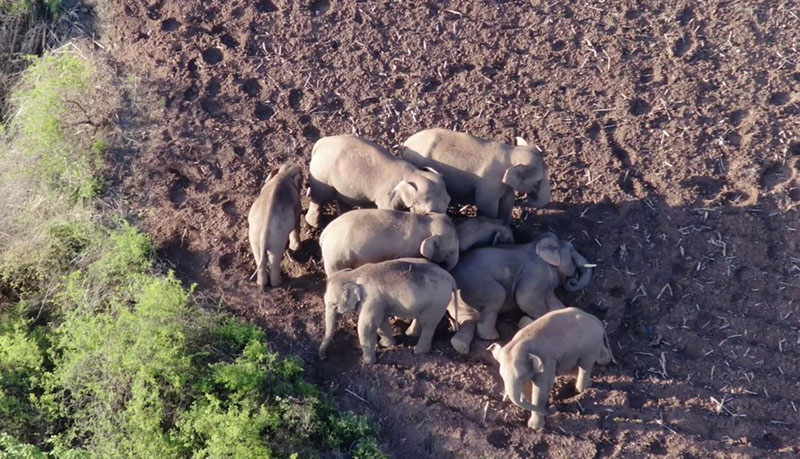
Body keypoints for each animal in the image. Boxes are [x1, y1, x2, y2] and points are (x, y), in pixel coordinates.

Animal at [304, 135, 450, 228]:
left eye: (449, 201)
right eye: (429, 212)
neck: (413, 173)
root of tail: (319, 144)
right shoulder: (387, 195)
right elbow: (387, 209)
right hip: (322, 177)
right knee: (320, 199)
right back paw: (318, 225)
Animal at [318, 209, 456, 276]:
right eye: (450, 252)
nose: (449, 269)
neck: (427, 222)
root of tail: (323, 235)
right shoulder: (407, 250)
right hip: (336, 259)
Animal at [318, 258, 460, 362]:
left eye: (333, 304)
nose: (323, 357)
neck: (354, 274)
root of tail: (451, 279)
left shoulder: (371, 300)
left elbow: (366, 326)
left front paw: (368, 362)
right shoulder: (379, 303)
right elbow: (382, 322)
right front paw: (388, 344)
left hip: (437, 304)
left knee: (428, 324)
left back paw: (417, 351)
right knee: (421, 319)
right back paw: (409, 334)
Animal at [400, 128, 552, 224]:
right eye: (537, 182)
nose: (528, 199)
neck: (512, 153)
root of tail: (405, 144)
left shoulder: (503, 185)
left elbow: (508, 201)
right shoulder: (489, 186)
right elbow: (487, 208)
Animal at [446, 234, 592, 356]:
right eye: (572, 252)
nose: (573, 280)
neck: (536, 244)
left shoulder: (547, 283)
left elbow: (554, 303)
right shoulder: (535, 272)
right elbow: (526, 299)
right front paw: (538, 320)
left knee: (468, 319)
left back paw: (460, 346)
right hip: (478, 287)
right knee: (496, 297)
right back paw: (491, 337)